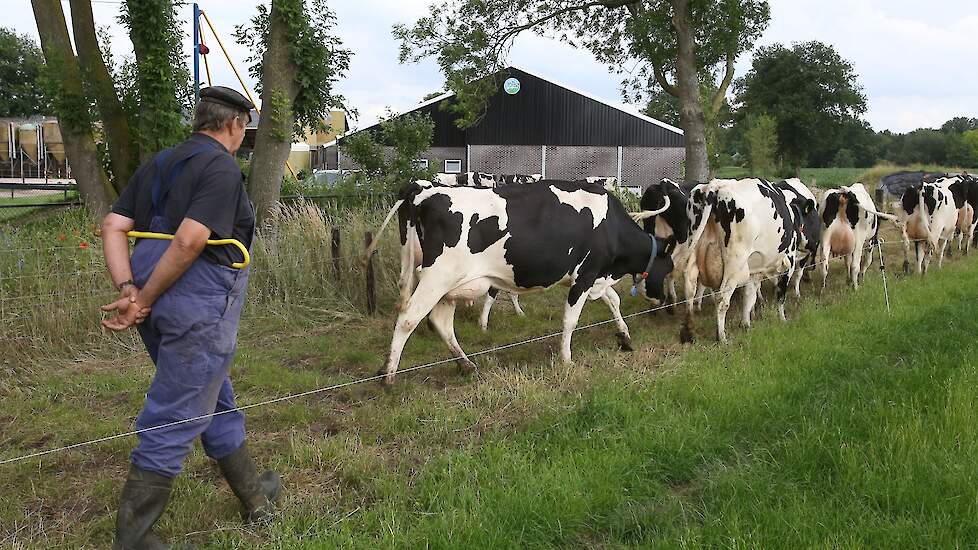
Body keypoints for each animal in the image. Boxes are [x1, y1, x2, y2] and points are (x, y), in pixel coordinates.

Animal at [676, 180, 804, 344]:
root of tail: (716, 185)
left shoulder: (755, 270)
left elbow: (749, 296)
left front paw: (746, 324)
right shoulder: (789, 262)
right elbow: (780, 294)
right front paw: (782, 319)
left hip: (695, 248)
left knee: (690, 288)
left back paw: (688, 333)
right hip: (735, 262)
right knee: (722, 299)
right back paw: (722, 338)